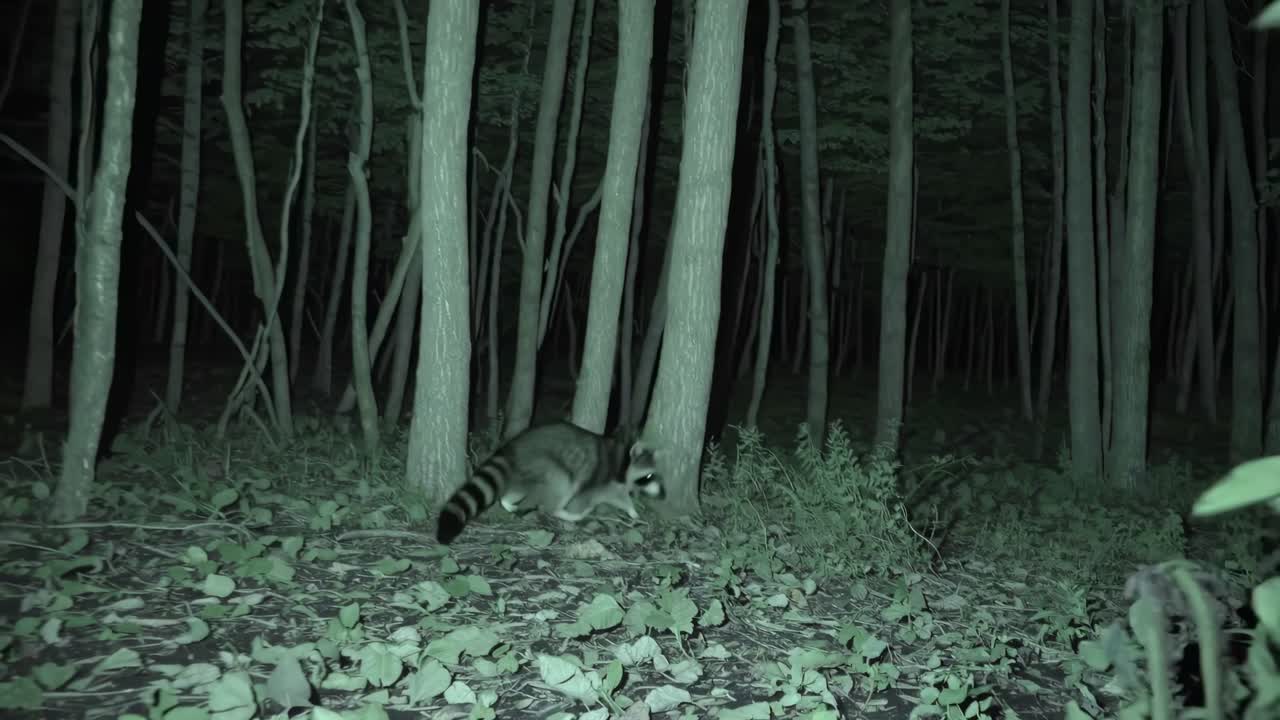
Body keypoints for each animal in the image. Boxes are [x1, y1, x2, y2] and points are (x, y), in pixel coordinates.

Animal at [435, 420, 663, 544]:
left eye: (654, 475)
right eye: (648, 477)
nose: (662, 494)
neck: (623, 458)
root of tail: (512, 447)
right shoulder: (603, 480)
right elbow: (606, 497)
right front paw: (632, 510)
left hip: (527, 470)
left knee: (517, 489)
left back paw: (509, 502)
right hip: (547, 463)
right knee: (562, 485)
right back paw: (561, 511)